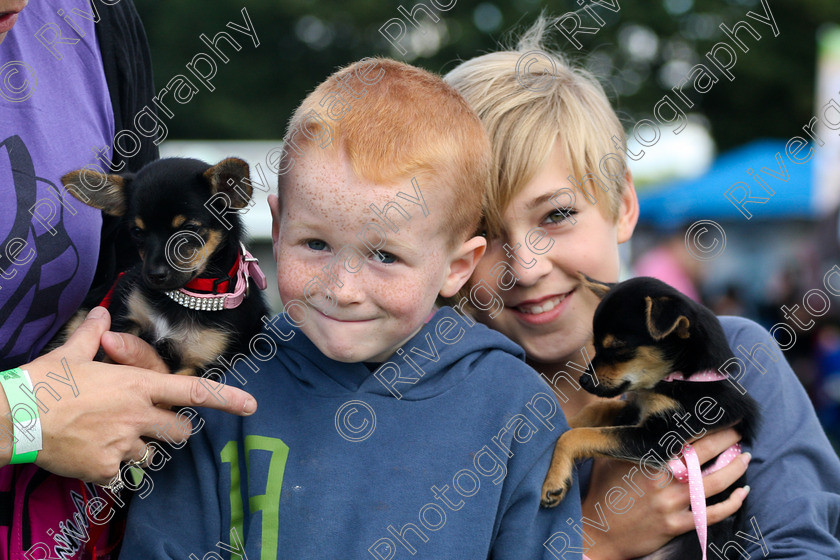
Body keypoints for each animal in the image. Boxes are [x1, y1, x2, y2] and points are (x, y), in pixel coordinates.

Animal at [51, 158, 270, 376]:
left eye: (189, 229)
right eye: (137, 231)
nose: (154, 275)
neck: (184, 300)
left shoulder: (203, 363)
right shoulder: (125, 321)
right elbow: (107, 360)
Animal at [540, 276, 756, 560]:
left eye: (618, 349)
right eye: (595, 346)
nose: (583, 381)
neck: (679, 379)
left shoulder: (658, 436)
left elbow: (577, 436)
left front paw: (554, 481)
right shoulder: (634, 409)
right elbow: (595, 410)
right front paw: (568, 421)